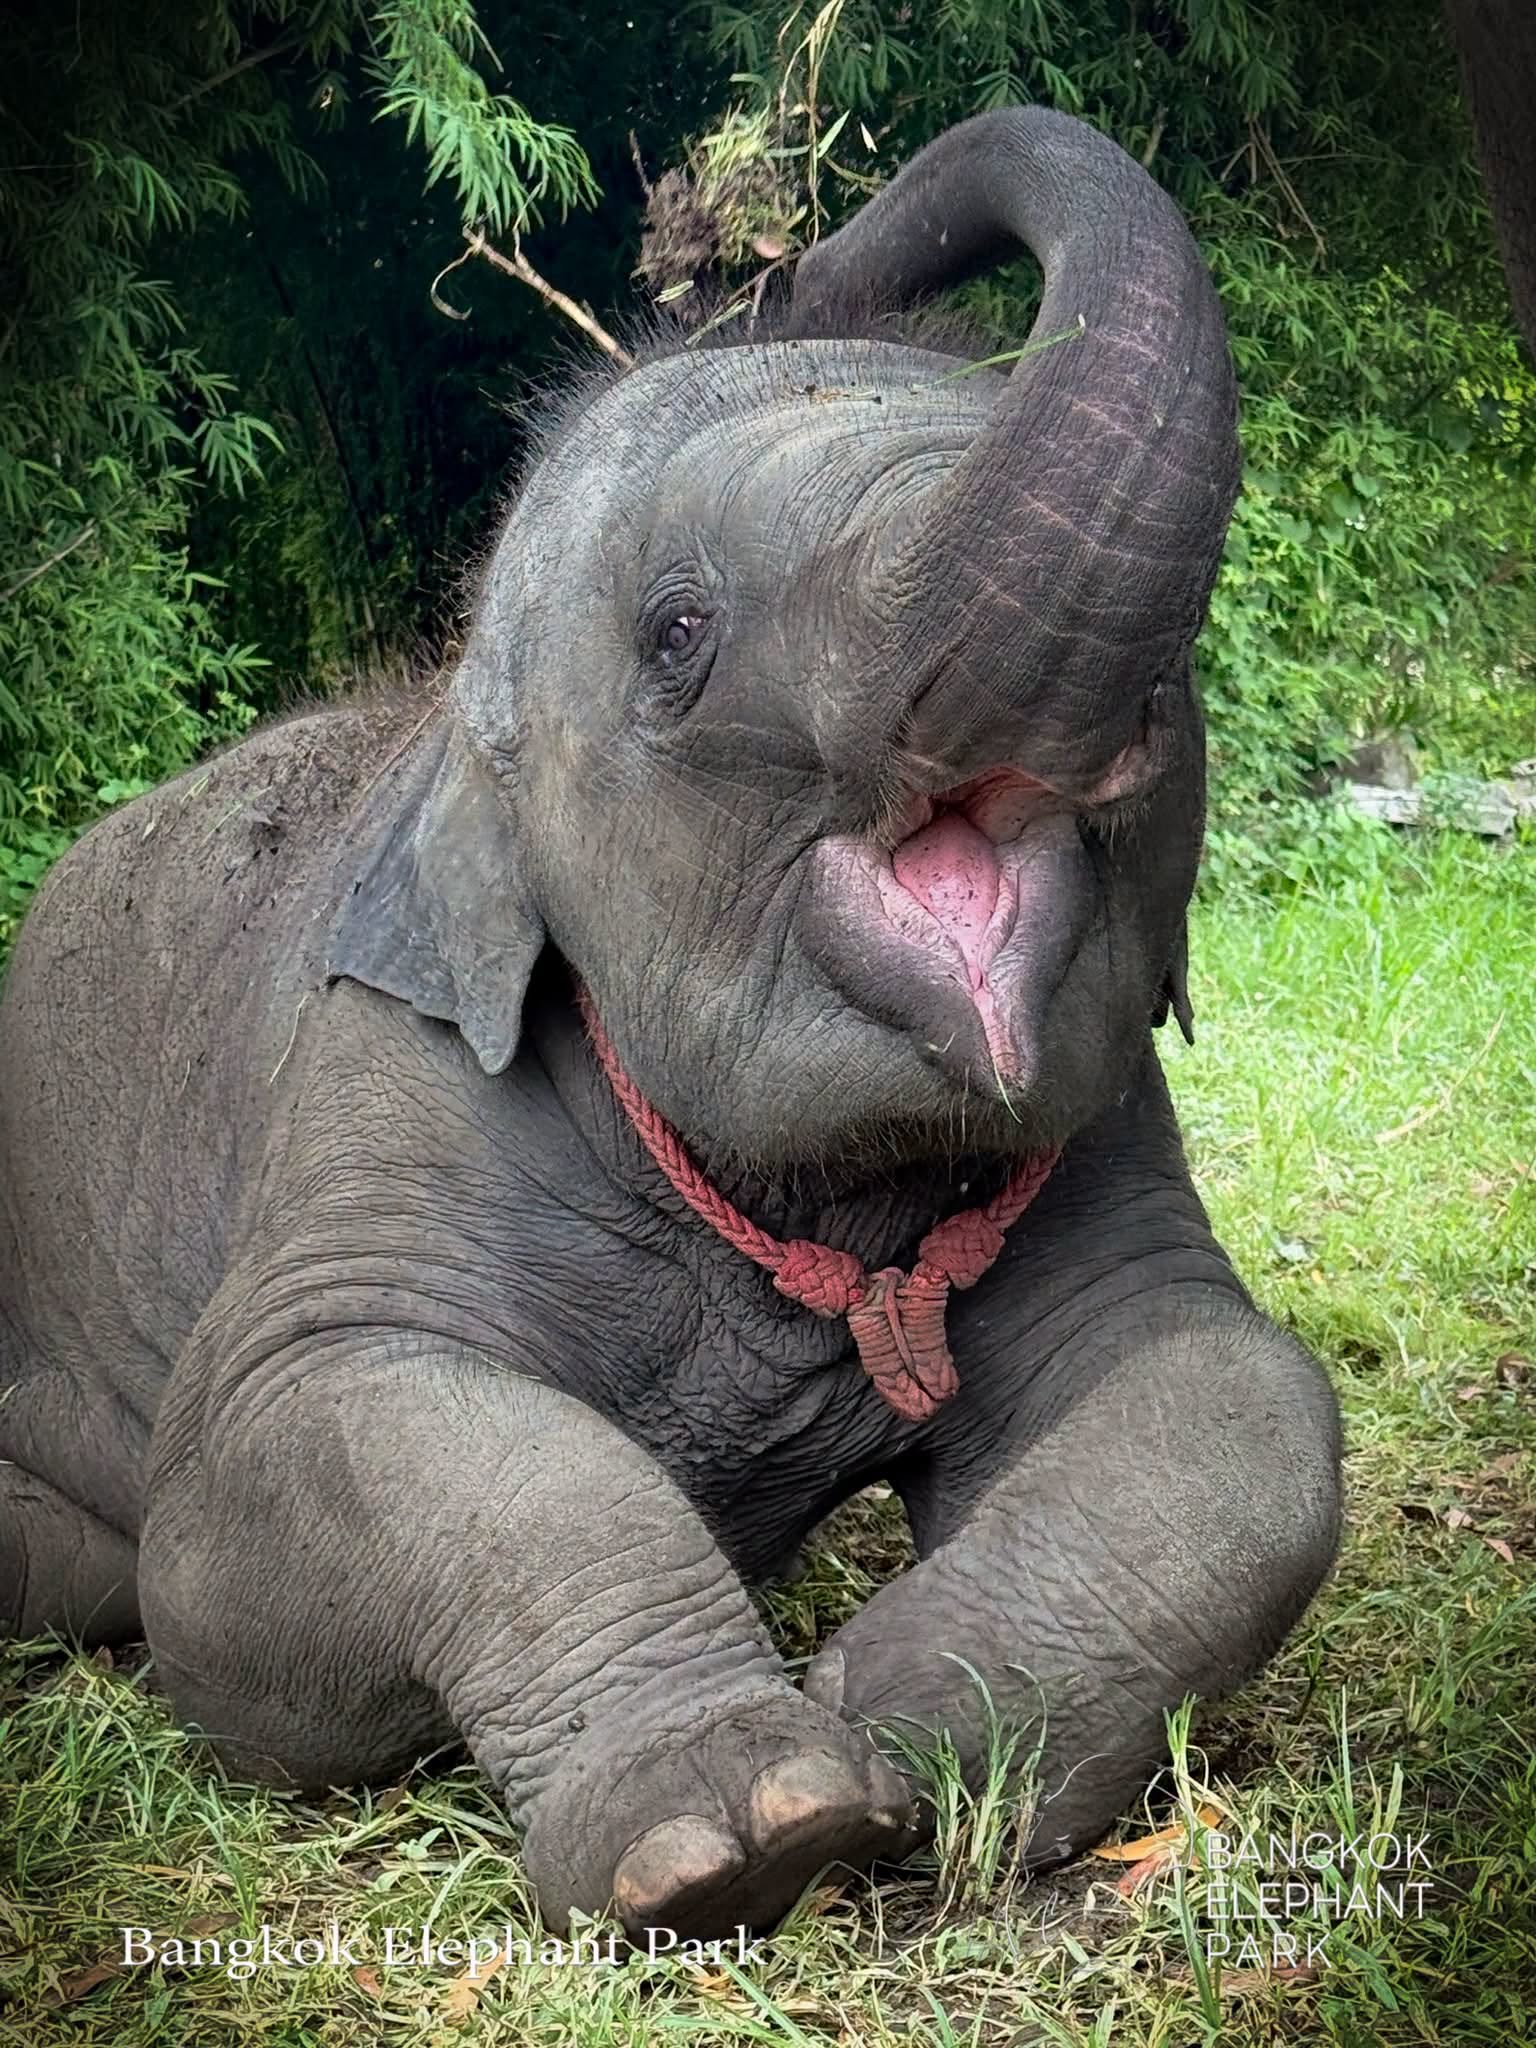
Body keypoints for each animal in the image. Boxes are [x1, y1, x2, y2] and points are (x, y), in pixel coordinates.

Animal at [0, 105, 1344, 1939]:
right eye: (679, 633)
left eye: (1184, 656)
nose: (785, 249)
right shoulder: (382, 1077)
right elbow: (254, 1515)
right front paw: (749, 1825)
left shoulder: (1113, 1123)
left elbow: (1242, 1387)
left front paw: (920, 1738)